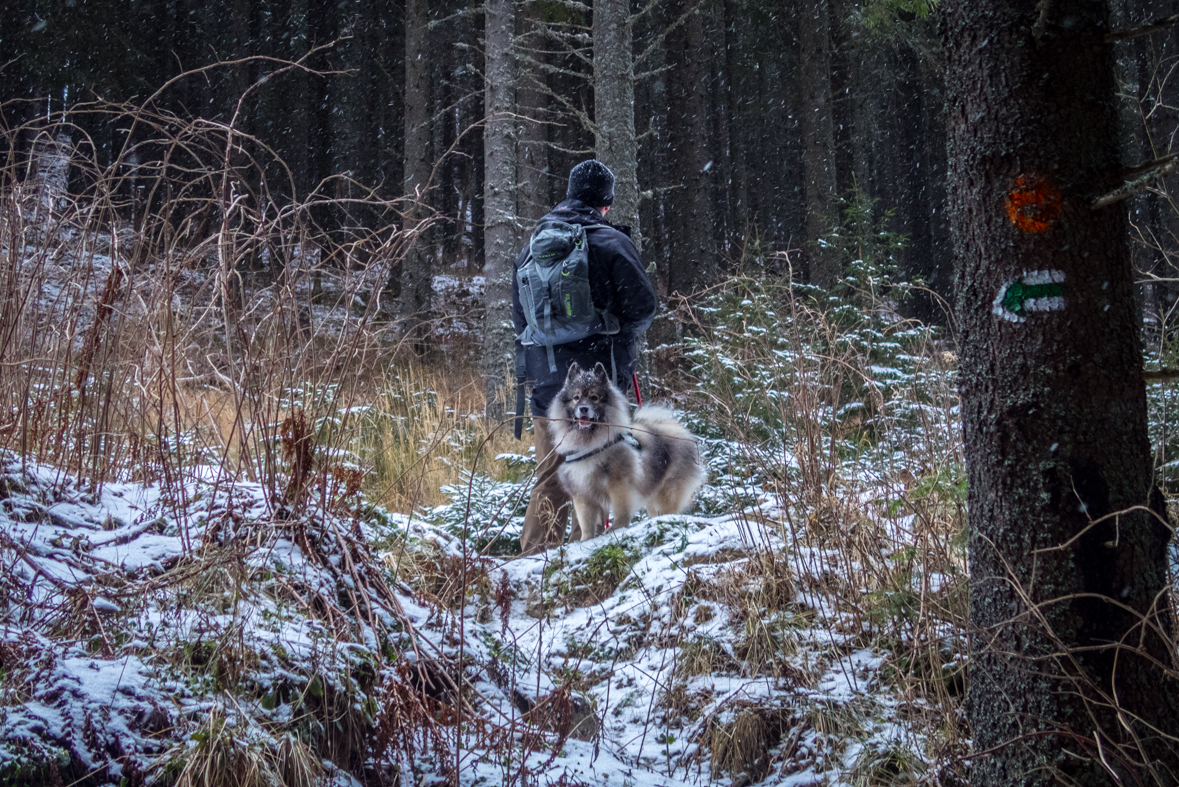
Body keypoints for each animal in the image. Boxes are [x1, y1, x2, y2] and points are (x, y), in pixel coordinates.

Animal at [547, 360, 702, 537]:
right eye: (576, 398)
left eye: (594, 397)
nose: (584, 408)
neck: (590, 444)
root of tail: (678, 430)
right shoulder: (582, 493)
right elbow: (586, 524)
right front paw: (585, 539)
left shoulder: (619, 483)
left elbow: (621, 510)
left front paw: (616, 527)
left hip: (667, 492)